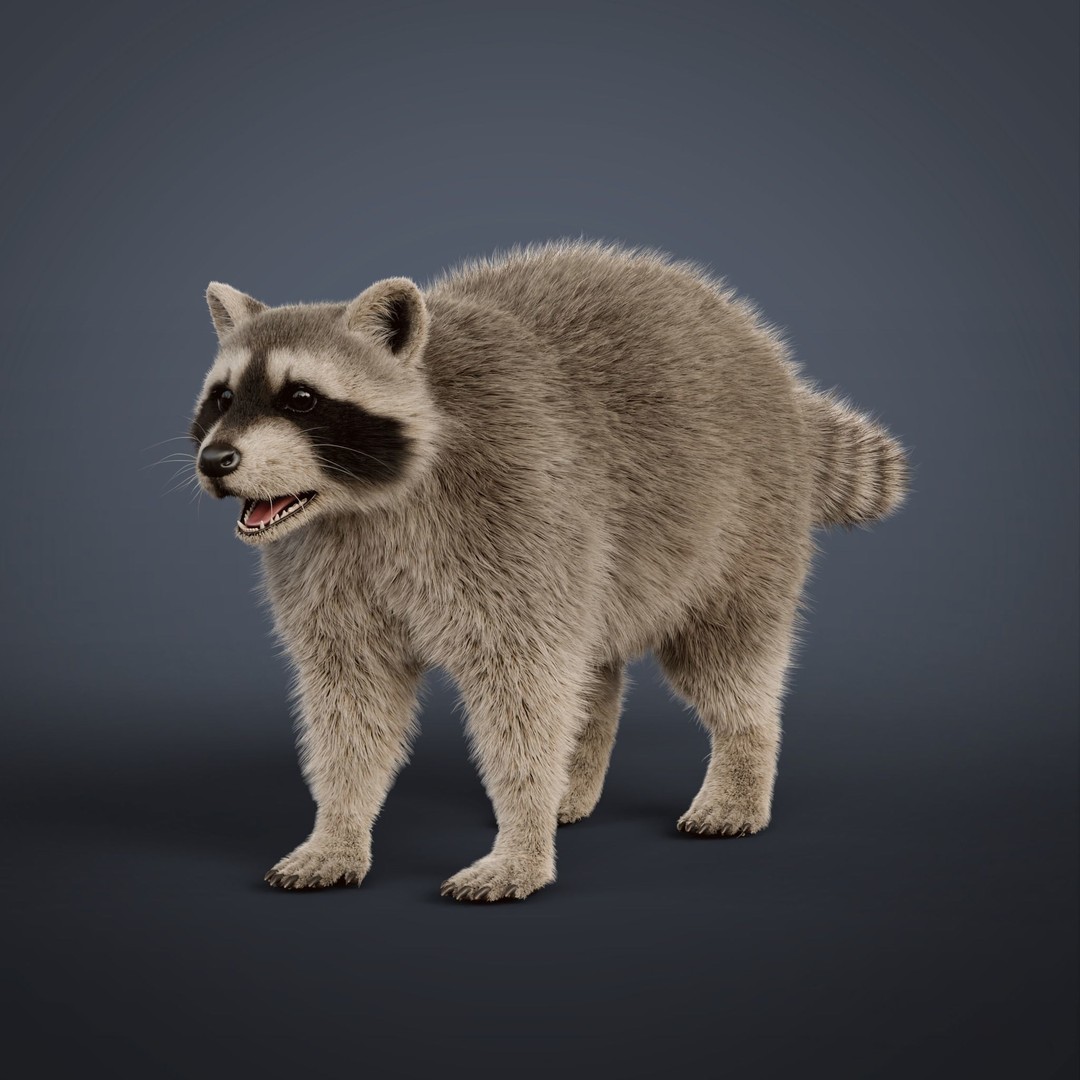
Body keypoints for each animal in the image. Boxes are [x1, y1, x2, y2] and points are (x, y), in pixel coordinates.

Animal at [190, 241, 908, 901]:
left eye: (302, 399)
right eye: (221, 398)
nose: (215, 460)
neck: (360, 504)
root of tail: (768, 359)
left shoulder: (512, 509)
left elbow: (524, 690)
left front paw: (522, 839)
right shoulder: (326, 564)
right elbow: (350, 699)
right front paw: (337, 829)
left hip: (738, 524)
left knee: (723, 657)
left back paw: (741, 760)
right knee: (593, 666)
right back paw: (578, 774)